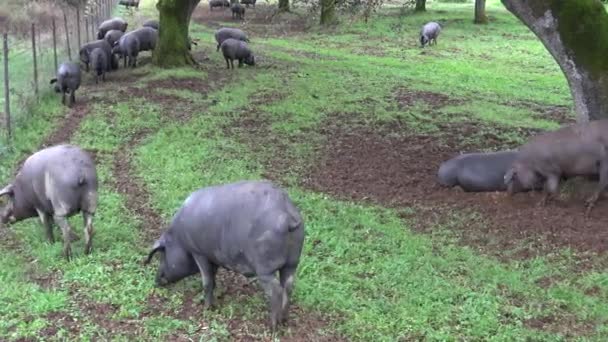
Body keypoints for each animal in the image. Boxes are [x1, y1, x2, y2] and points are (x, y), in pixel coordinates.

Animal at [143, 180, 304, 330]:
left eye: (163, 253)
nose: (156, 281)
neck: (179, 239)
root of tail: (288, 217)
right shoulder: (213, 257)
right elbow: (213, 278)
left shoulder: (199, 252)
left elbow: (207, 281)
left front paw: (207, 309)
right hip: (292, 263)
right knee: (288, 286)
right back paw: (284, 321)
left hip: (265, 267)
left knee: (276, 291)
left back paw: (272, 327)